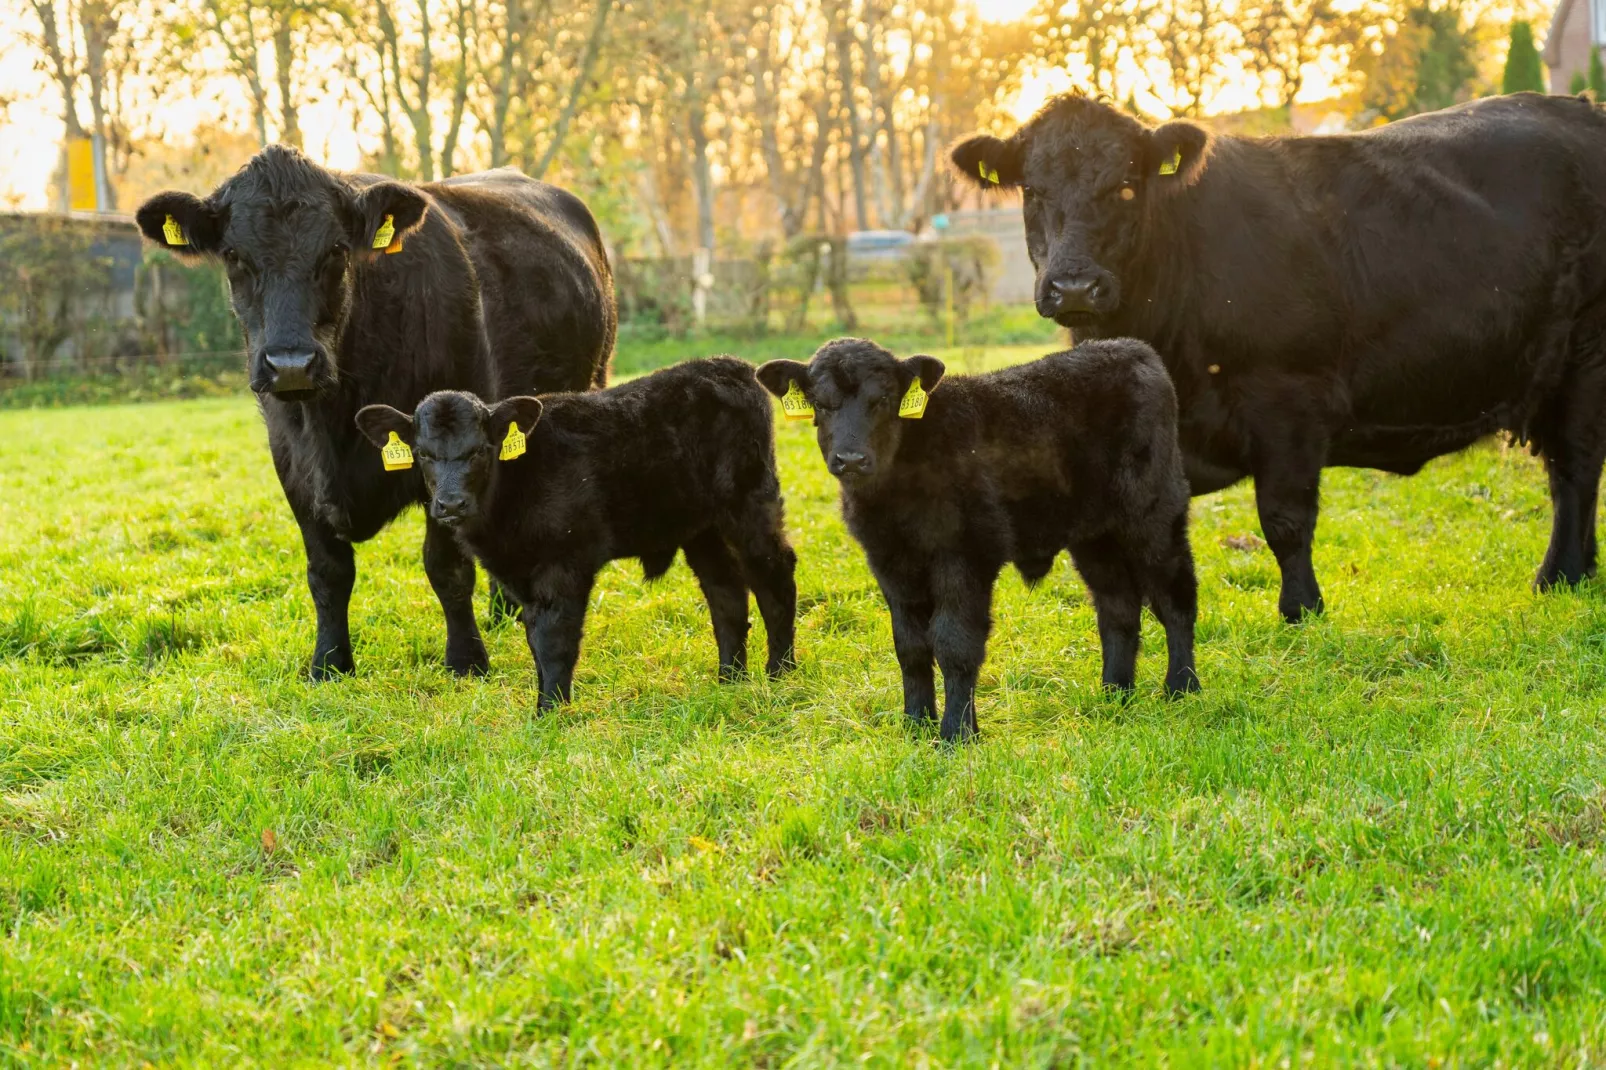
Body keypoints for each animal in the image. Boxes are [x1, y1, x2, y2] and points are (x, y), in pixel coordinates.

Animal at [134, 143, 613, 674]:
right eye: (234, 255)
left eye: (338, 251)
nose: (291, 364)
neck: (333, 424)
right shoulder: (291, 464)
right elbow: (327, 572)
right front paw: (329, 662)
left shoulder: (447, 447)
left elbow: (446, 567)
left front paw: (465, 659)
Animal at [356, 358, 796, 706]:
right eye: (422, 454)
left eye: (481, 449)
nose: (449, 504)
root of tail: (730, 367)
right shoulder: (519, 573)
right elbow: (535, 637)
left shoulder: (564, 563)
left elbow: (554, 640)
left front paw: (550, 711)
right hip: (702, 528)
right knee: (726, 592)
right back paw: (730, 678)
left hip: (750, 505)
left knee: (775, 575)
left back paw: (780, 671)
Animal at [758, 337, 1201, 739]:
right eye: (821, 403)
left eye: (883, 399)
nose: (851, 459)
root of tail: (1129, 347)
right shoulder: (889, 561)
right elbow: (911, 647)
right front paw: (916, 726)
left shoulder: (966, 553)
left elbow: (955, 643)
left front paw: (957, 734)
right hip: (1096, 535)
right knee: (1118, 607)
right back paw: (1114, 694)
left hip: (1155, 514)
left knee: (1175, 599)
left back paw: (1182, 688)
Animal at [950, 95, 1606, 620]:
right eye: (1032, 190)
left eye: (1127, 185)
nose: (1075, 287)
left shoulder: (1289, 398)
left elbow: (1285, 519)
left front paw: (1302, 610)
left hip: (1585, 356)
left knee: (1573, 469)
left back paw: (1558, 576)